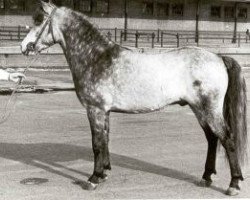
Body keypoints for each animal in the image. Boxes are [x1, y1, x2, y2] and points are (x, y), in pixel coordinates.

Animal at [20, 1, 247, 195]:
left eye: (39, 20)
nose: (24, 47)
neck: (96, 57)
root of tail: (218, 57)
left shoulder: (95, 109)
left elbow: (96, 143)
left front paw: (93, 178)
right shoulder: (104, 111)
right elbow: (105, 140)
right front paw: (104, 173)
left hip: (209, 109)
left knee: (227, 139)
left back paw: (234, 184)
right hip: (198, 108)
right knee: (212, 139)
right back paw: (206, 177)